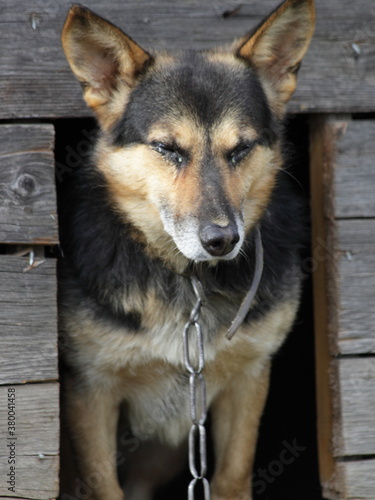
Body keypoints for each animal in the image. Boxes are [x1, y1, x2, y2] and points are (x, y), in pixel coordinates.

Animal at [58, 1, 316, 498]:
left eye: (241, 149)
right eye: (167, 148)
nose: (222, 241)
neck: (188, 279)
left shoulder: (247, 380)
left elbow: (233, 476)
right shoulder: (90, 394)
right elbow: (104, 486)